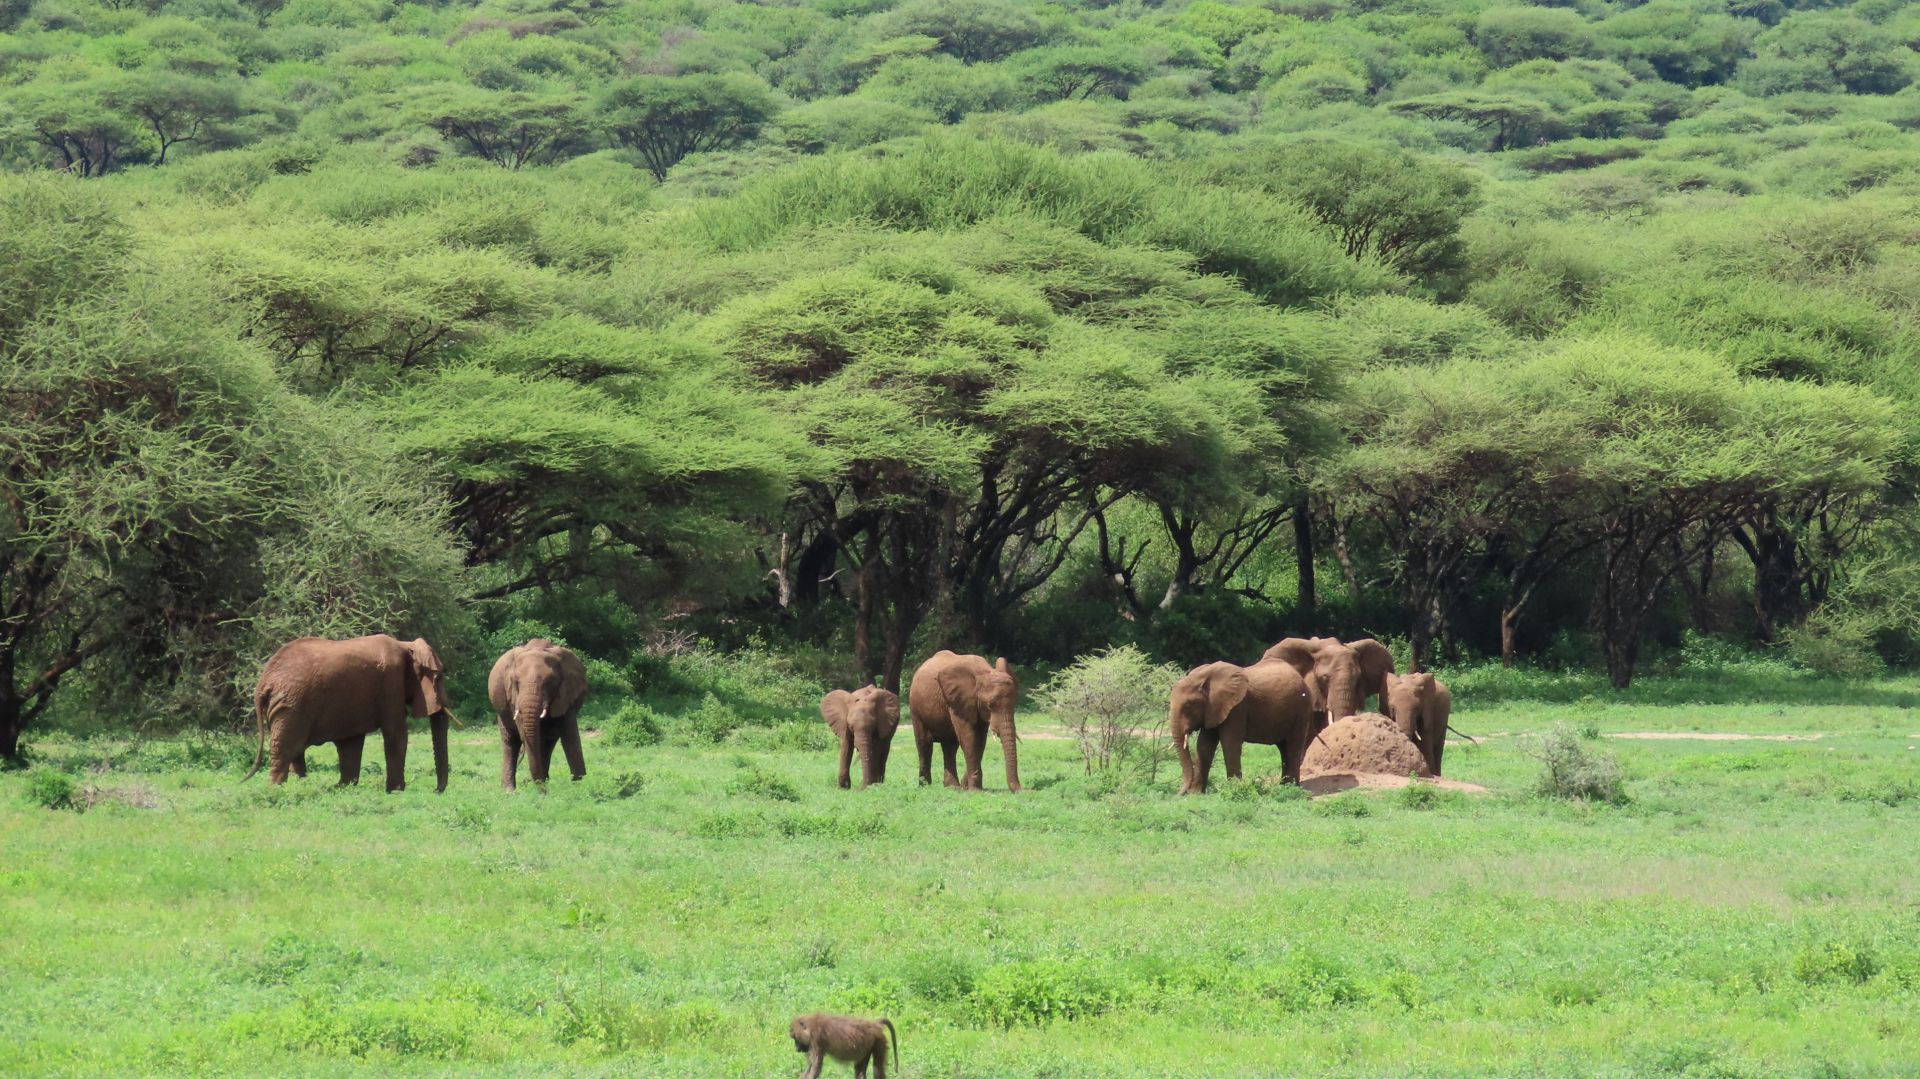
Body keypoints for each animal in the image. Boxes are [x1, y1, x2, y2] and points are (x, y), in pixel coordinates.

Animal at [247, 629, 456, 791]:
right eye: (438, 677)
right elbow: (395, 733)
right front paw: (397, 791)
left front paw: (344, 788)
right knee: (286, 748)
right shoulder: (391, 683)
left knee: (295, 750)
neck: (406, 646)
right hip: (292, 705)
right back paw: (277, 789)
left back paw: (300, 786)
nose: (436, 790)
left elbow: (351, 743)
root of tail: (264, 681)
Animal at [483, 633, 587, 787]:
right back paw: (510, 790)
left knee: (548, 743)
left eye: (550, 682)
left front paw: (580, 785)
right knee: (510, 742)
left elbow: (570, 735)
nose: (540, 788)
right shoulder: (514, 698)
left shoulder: (566, 694)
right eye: (516, 682)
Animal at [910, 645, 1029, 791]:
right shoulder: (958, 700)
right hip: (915, 707)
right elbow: (968, 736)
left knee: (950, 746)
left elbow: (980, 739)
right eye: (989, 705)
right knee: (924, 744)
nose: (1021, 790)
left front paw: (968, 787)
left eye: (1015, 704)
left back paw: (952, 787)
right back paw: (925, 786)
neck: (983, 673)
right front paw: (975, 791)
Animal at [1167, 656, 1320, 791]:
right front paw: (1196, 794)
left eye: (1188, 705)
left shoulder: (1237, 707)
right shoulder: (1212, 709)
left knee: (1293, 745)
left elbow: (1230, 743)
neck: (1203, 678)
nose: (1179, 794)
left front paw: (1234, 788)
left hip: (1302, 710)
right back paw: (1284, 786)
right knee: (1284, 748)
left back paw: (1290, 788)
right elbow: (1204, 745)